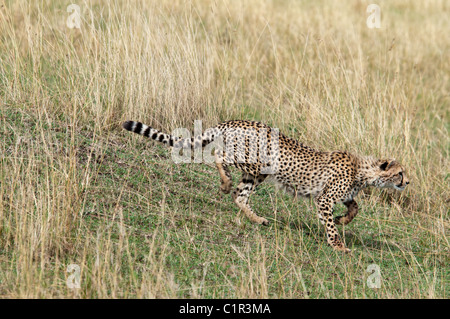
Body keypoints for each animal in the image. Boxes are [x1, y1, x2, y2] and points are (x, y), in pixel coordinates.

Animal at [122, 120, 408, 252]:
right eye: (400, 173)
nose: (407, 182)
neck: (364, 170)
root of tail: (233, 121)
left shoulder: (343, 195)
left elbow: (355, 206)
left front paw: (343, 220)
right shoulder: (325, 198)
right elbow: (330, 223)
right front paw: (337, 243)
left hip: (255, 174)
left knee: (240, 197)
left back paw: (257, 219)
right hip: (253, 162)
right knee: (219, 157)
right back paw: (225, 183)